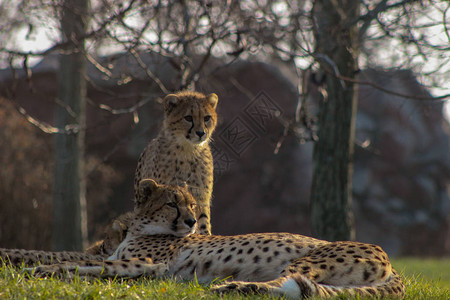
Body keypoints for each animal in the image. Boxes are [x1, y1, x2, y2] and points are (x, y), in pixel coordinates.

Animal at [24, 179, 404, 298]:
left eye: (193, 205)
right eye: (172, 203)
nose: (192, 222)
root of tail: (390, 260)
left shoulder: (148, 265)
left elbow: (91, 267)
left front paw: (41, 271)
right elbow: (93, 264)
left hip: (306, 259)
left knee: (289, 282)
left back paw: (233, 287)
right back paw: (239, 288)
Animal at [134, 90, 218, 236]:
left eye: (207, 118)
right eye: (188, 118)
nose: (200, 133)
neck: (189, 150)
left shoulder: (201, 199)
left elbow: (203, 225)